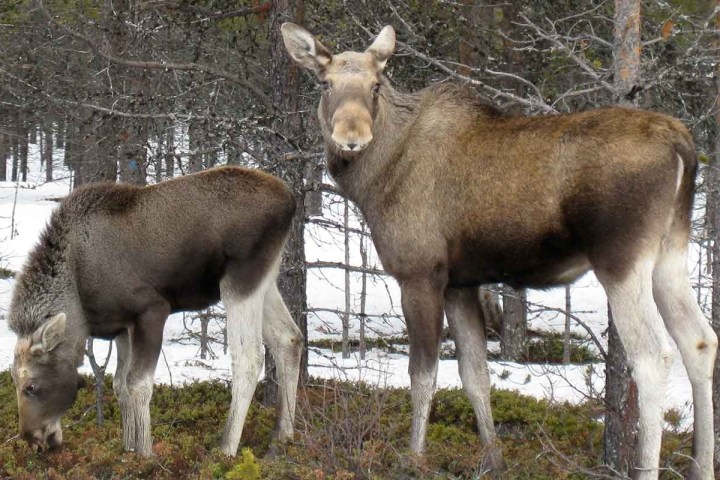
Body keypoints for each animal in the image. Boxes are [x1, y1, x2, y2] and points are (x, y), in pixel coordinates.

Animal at [8, 166, 303, 458]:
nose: (33, 439)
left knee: (249, 358)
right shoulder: (122, 327)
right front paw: (127, 449)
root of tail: (290, 200)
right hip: (266, 280)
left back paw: (226, 449)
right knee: (289, 338)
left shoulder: (151, 310)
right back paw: (281, 440)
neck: (79, 299)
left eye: (31, 386)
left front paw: (145, 454)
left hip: (240, 279)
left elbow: (138, 384)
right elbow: (119, 385)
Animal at [281, 23, 717, 479]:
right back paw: (702, 465)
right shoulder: (460, 284)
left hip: (621, 258)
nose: (351, 138)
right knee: (700, 341)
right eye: (325, 83)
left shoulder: (420, 273)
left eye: (376, 85)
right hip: (670, 252)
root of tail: (684, 146)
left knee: (653, 356)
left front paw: (414, 457)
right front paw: (494, 458)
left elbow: (423, 375)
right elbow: (476, 374)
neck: (373, 180)